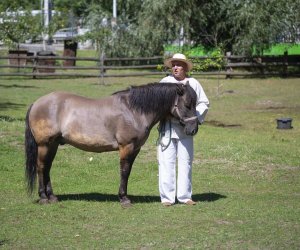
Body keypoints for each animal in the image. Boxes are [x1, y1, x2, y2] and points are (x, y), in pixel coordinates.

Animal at [24, 82, 198, 207]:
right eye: (187, 104)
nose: (193, 129)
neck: (133, 111)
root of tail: (36, 103)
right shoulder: (126, 147)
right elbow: (124, 171)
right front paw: (124, 199)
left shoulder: (135, 148)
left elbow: (128, 172)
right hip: (44, 145)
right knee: (41, 167)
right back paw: (43, 197)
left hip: (52, 145)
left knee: (47, 168)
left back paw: (52, 197)